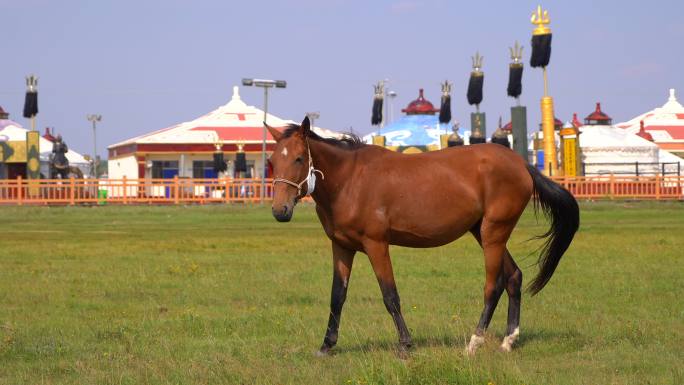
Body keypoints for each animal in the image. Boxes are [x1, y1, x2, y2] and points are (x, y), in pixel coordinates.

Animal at [266, 116, 576, 354]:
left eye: (298, 158)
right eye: (271, 161)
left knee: (494, 285)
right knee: (513, 277)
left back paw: (474, 342)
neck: (350, 180)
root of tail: (522, 165)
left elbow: (390, 295)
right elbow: (337, 296)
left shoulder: (377, 245)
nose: (280, 210)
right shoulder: (342, 247)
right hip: (484, 232)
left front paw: (405, 344)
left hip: (493, 234)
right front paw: (327, 345)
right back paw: (508, 340)